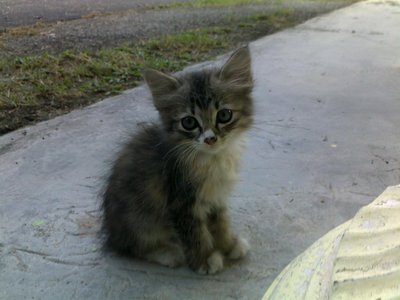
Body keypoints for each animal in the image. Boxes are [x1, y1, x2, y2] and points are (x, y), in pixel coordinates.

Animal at [102, 46, 253, 274]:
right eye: (189, 122)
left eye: (224, 115)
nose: (210, 139)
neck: (211, 159)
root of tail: (110, 233)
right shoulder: (181, 202)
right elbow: (195, 234)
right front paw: (204, 259)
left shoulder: (216, 198)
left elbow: (221, 223)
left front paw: (229, 245)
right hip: (139, 219)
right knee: (134, 248)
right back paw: (168, 253)